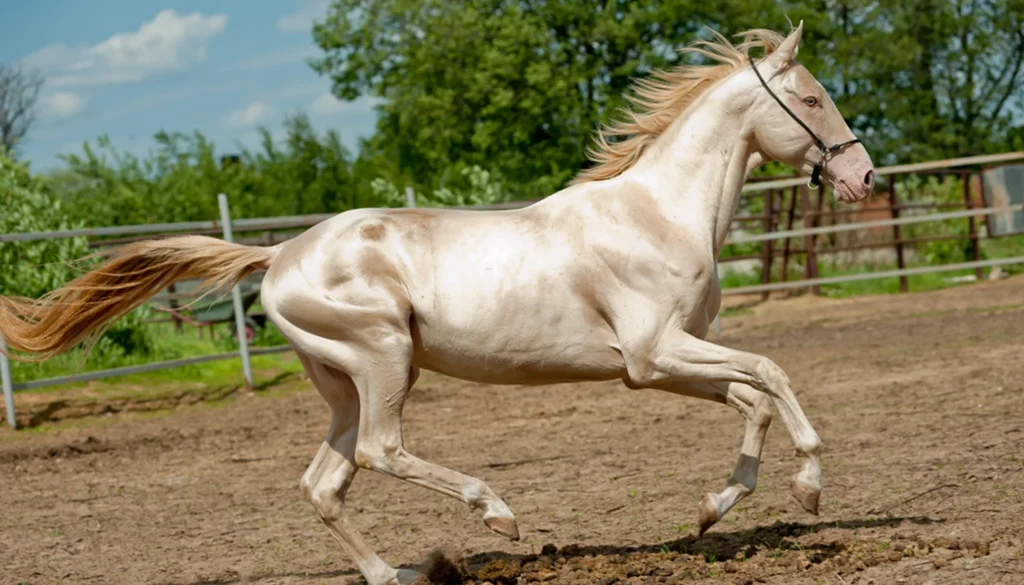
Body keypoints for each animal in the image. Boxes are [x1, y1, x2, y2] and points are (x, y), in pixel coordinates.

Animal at [0, 22, 874, 585]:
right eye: (813, 98)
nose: (865, 177)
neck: (657, 212)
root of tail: (278, 255)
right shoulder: (654, 352)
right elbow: (772, 372)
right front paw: (809, 485)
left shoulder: (656, 365)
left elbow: (751, 398)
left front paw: (712, 509)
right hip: (384, 359)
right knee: (380, 452)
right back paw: (497, 515)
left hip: (344, 384)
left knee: (326, 481)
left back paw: (393, 572)